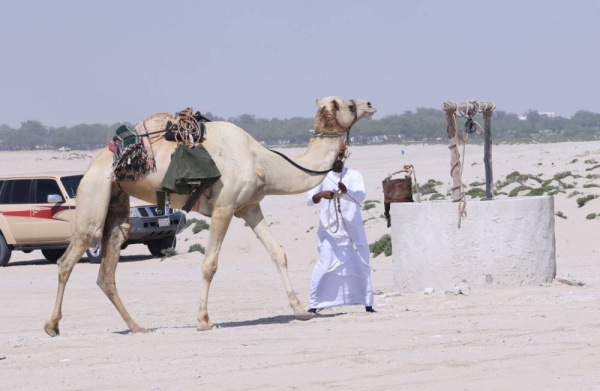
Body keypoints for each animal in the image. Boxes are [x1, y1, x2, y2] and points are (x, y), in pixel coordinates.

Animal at [44, 95, 376, 336]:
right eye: (348, 104)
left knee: (108, 267)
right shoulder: (224, 207)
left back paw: (137, 327)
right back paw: (52, 326)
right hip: (95, 190)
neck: (264, 164)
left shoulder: (249, 207)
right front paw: (204, 320)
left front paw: (300, 310)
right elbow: (210, 264)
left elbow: (277, 253)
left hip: (117, 200)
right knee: (71, 255)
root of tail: (97, 162)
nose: (370, 104)